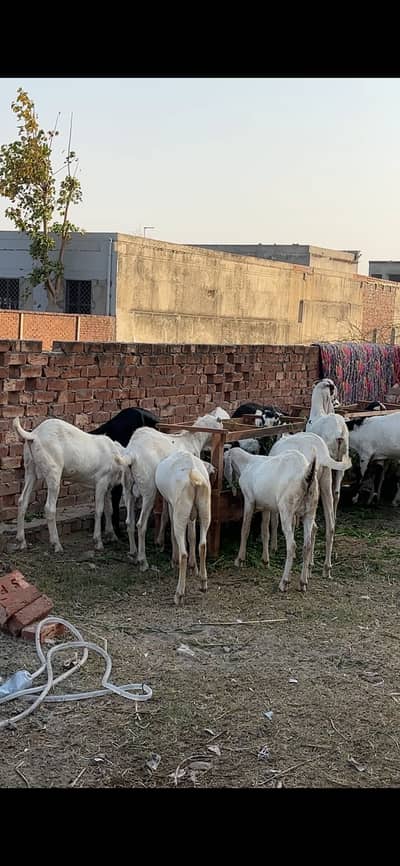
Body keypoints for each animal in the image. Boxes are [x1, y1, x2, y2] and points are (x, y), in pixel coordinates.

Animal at [13, 417, 131, 553]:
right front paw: (98, 542)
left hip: (30, 467)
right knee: (49, 507)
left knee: (22, 500)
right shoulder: (101, 481)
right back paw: (57, 544)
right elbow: (99, 510)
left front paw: (112, 535)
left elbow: (109, 509)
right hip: (53, 470)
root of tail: (34, 434)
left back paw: (21, 541)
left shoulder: (108, 485)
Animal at [123, 413, 223, 571]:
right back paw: (142, 560)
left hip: (127, 489)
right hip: (148, 490)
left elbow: (165, 515)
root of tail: (132, 453)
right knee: (141, 525)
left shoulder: (169, 493)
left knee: (129, 521)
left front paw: (161, 542)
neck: (192, 439)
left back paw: (133, 553)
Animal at [155, 452, 212, 605]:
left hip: (180, 509)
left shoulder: (171, 505)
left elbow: (172, 532)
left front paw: (173, 560)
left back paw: (179, 594)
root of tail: (193, 474)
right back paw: (203, 583)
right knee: (203, 544)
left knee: (183, 553)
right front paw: (193, 567)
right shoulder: (192, 514)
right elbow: (192, 535)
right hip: (205, 507)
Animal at [224, 447, 319, 592]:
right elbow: (265, 532)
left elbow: (245, 529)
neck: (247, 463)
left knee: (292, 545)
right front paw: (265, 560)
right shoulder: (266, 506)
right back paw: (303, 582)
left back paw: (284, 582)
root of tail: (307, 475)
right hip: (310, 511)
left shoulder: (249, 500)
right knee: (307, 544)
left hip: (286, 510)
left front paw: (240, 559)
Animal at [269, 431, 351, 578]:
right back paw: (325, 568)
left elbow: (275, 520)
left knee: (313, 528)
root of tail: (321, 452)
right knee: (329, 526)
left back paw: (308, 567)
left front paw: (274, 548)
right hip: (325, 481)